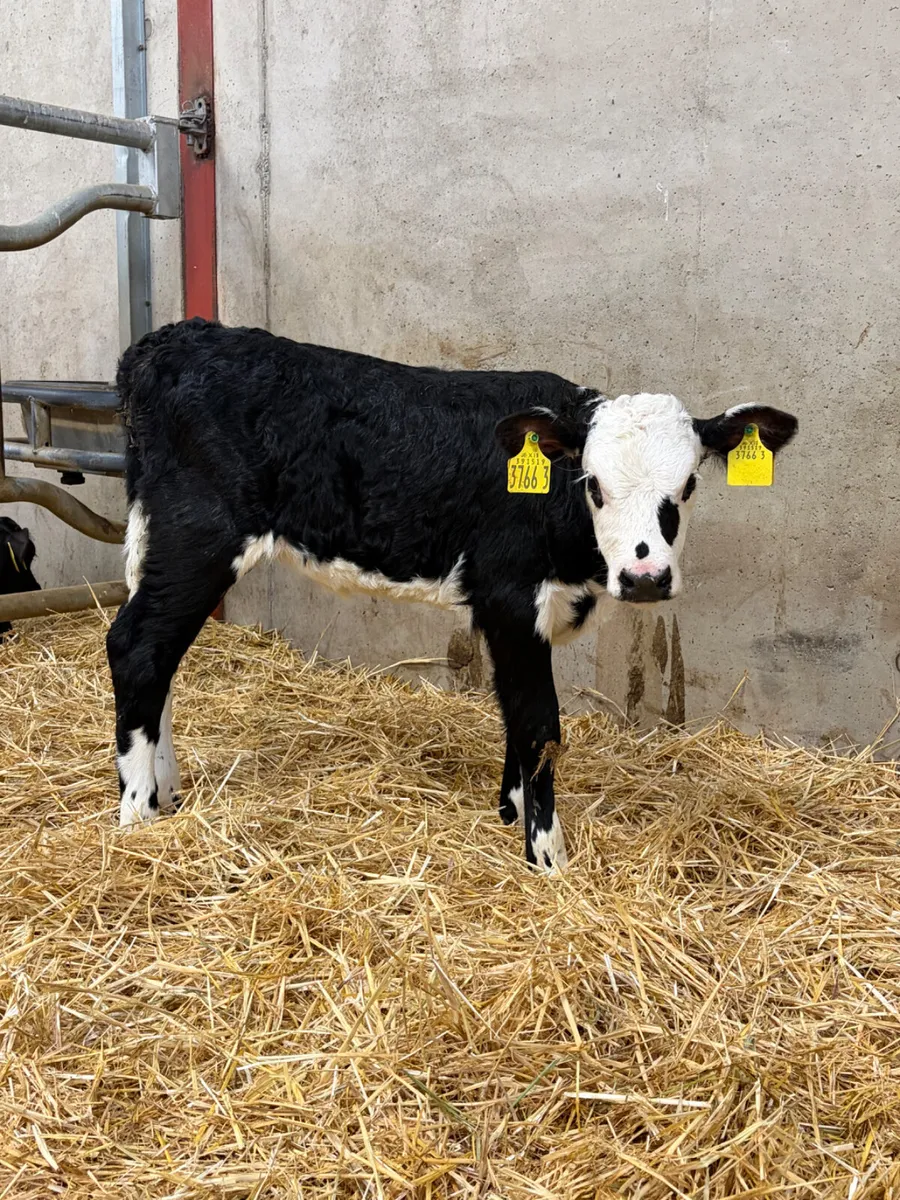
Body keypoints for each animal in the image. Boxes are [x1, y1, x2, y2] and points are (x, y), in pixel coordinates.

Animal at [107, 318, 798, 870]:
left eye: (688, 485)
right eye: (593, 483)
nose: (645, 577)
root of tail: (173, 339)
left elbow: (513, 716)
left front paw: (509, 810)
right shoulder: (511, 598)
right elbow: (538, 723)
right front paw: (547, 856)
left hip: (158, 539)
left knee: (158, 658)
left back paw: (166, 792)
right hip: (199, 537)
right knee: (136, 647)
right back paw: (138, 814)